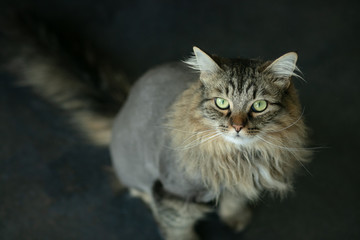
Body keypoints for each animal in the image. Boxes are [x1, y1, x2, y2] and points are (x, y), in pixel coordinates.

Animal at [1, 19, 310, 240]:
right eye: (222, 103)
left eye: (259, 105)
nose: (237, 127)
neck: (238, 159)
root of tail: (123, 107)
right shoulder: (174, 194)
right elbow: (177, 229)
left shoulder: (237, 181)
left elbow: (233, 199)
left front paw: (235, 218)